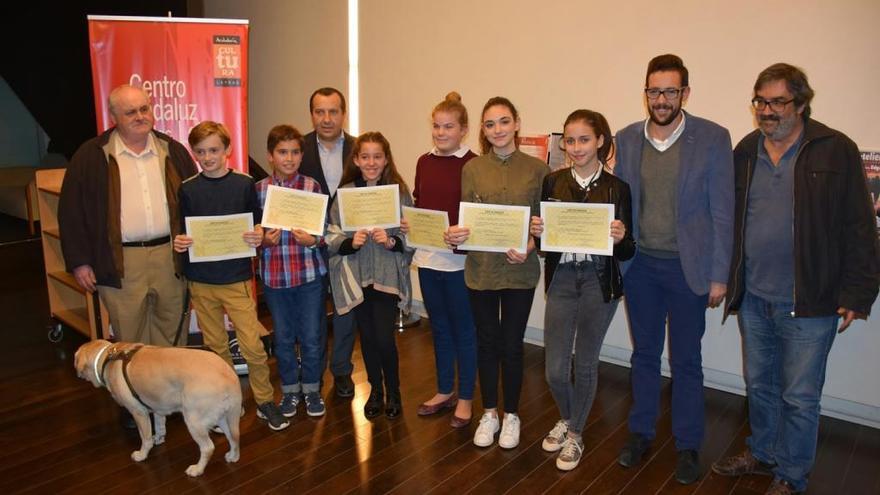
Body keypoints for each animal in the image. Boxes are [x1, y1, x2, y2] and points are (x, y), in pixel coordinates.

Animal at [73, 340, 241, 476]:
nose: (77, 373)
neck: (107, 357)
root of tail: (228, 376)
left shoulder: (139, 413)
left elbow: (145, 437)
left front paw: (142, 454)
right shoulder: (158, 409)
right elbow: (160, 427)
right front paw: (159, 439)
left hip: (194, 421)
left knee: (208, 448)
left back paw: (197, 469)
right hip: (226, 418)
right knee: (234, 437)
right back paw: (233, 457)